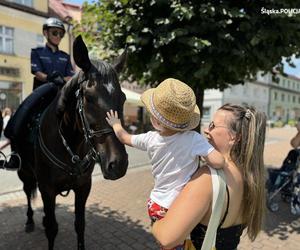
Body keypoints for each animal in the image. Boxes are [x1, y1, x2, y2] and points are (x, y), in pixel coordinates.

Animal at [16, 35, 129, 250]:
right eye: (89, 98)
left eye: (123, 98)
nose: (118, 164)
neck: (69, 147)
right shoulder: (47, 189)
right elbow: (52, 228)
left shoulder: (83, 186)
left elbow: (80, 224)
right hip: (24, 172)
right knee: (27, 192)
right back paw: (29, 221)